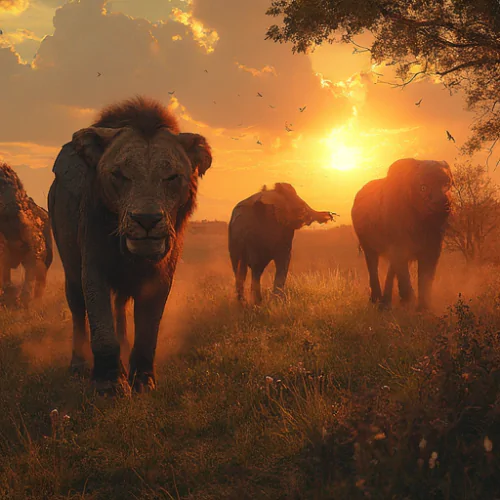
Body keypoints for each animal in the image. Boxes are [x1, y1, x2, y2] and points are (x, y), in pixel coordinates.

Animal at [47, 96, 211, 394]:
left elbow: (148, 329)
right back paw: (78, 365)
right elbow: (101, 325)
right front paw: (109, 384)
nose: (146, 220)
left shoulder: (163, 270)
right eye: (119, 174)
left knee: (121, 303)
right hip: (68, 263)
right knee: (77, 307)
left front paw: (143, 381)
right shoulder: (93, 261)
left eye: (171, 177)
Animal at [352, 158, 454, 310]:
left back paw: (387, 302)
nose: (443, 204)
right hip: (365, 241)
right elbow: (401, 263)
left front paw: (423, 308)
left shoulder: (435, 240)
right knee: (373, 262)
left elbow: (427, 270)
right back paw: (377, 301)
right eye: (423, 187)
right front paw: (409, 303)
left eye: (447, 183)